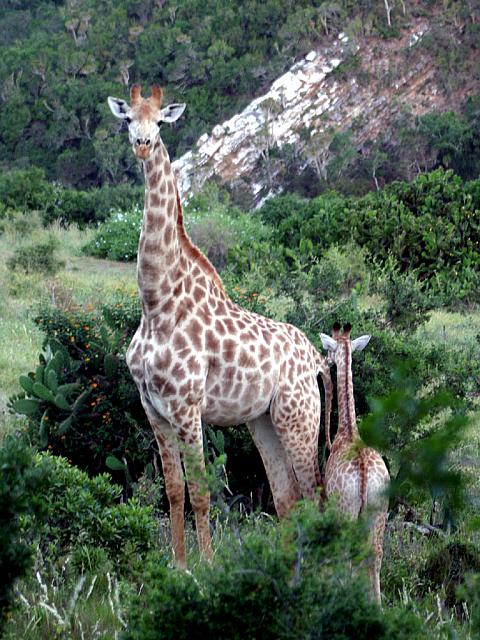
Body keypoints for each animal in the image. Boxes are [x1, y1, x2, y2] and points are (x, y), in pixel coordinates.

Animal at [107, 84, 333, 568]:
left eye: (160, 122)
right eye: (128, 119)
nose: (142, 145)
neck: (155, 304)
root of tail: (316, 359)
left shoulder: (187, 407)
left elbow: (201, 493)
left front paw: (207, 567)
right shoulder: (152, 407)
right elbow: (174, 491)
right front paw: (178, 566)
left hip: (299, 416)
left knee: (317, 492)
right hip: (263, 421)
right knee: (287, 496)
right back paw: (286, 567)